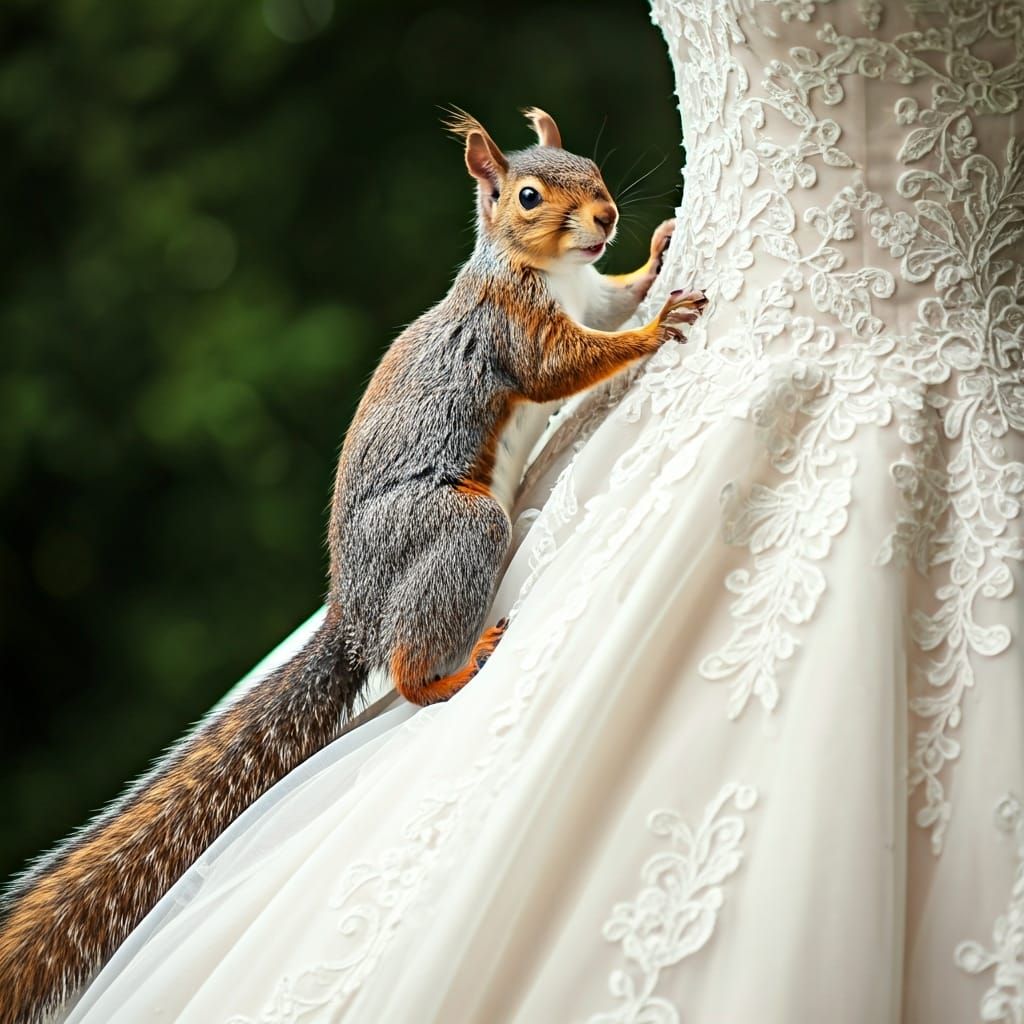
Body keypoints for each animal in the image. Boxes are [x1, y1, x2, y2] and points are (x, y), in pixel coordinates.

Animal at [0, 107, 705, 1024]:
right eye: (527, 195)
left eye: (590, 167)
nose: (608, 216)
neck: (548, 273)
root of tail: (358, 611)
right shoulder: (515, 331)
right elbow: (569, 364)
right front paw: (659, 324)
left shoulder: (590, 295)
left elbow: (617, 298)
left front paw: (657, 252)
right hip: (453, 531)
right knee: (409, 667)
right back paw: (452, 669)